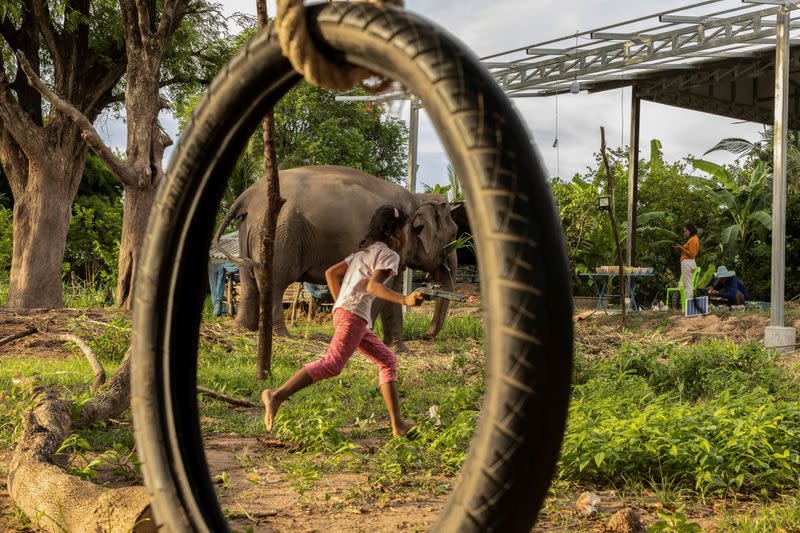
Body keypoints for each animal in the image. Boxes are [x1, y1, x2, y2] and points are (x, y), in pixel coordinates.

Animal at [212, 165, 460, 350]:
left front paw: (399, 350)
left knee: (248, 282)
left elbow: (392, 289)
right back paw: (282, 335)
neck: (417, 197)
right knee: (275, 282)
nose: (425, 336)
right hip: (281, 235)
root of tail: (249, 193)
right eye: (454, 235)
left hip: (247, 230)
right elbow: (379, 289)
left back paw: (243, 330)